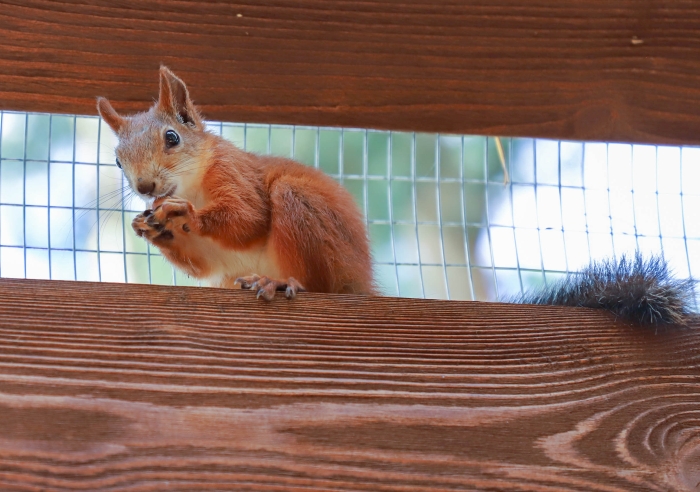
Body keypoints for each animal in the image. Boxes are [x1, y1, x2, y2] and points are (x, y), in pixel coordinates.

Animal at [97, 66, 378, 300]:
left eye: (172, 137)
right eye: (118, 161)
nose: (144, 187)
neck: (191, 189)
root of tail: (362, 282)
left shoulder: (233, 170)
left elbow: (249, 217)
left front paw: (186, 213)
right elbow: (203, 263)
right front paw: (150, 227)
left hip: (306, 212)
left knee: (319, 285)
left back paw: (280, 283)